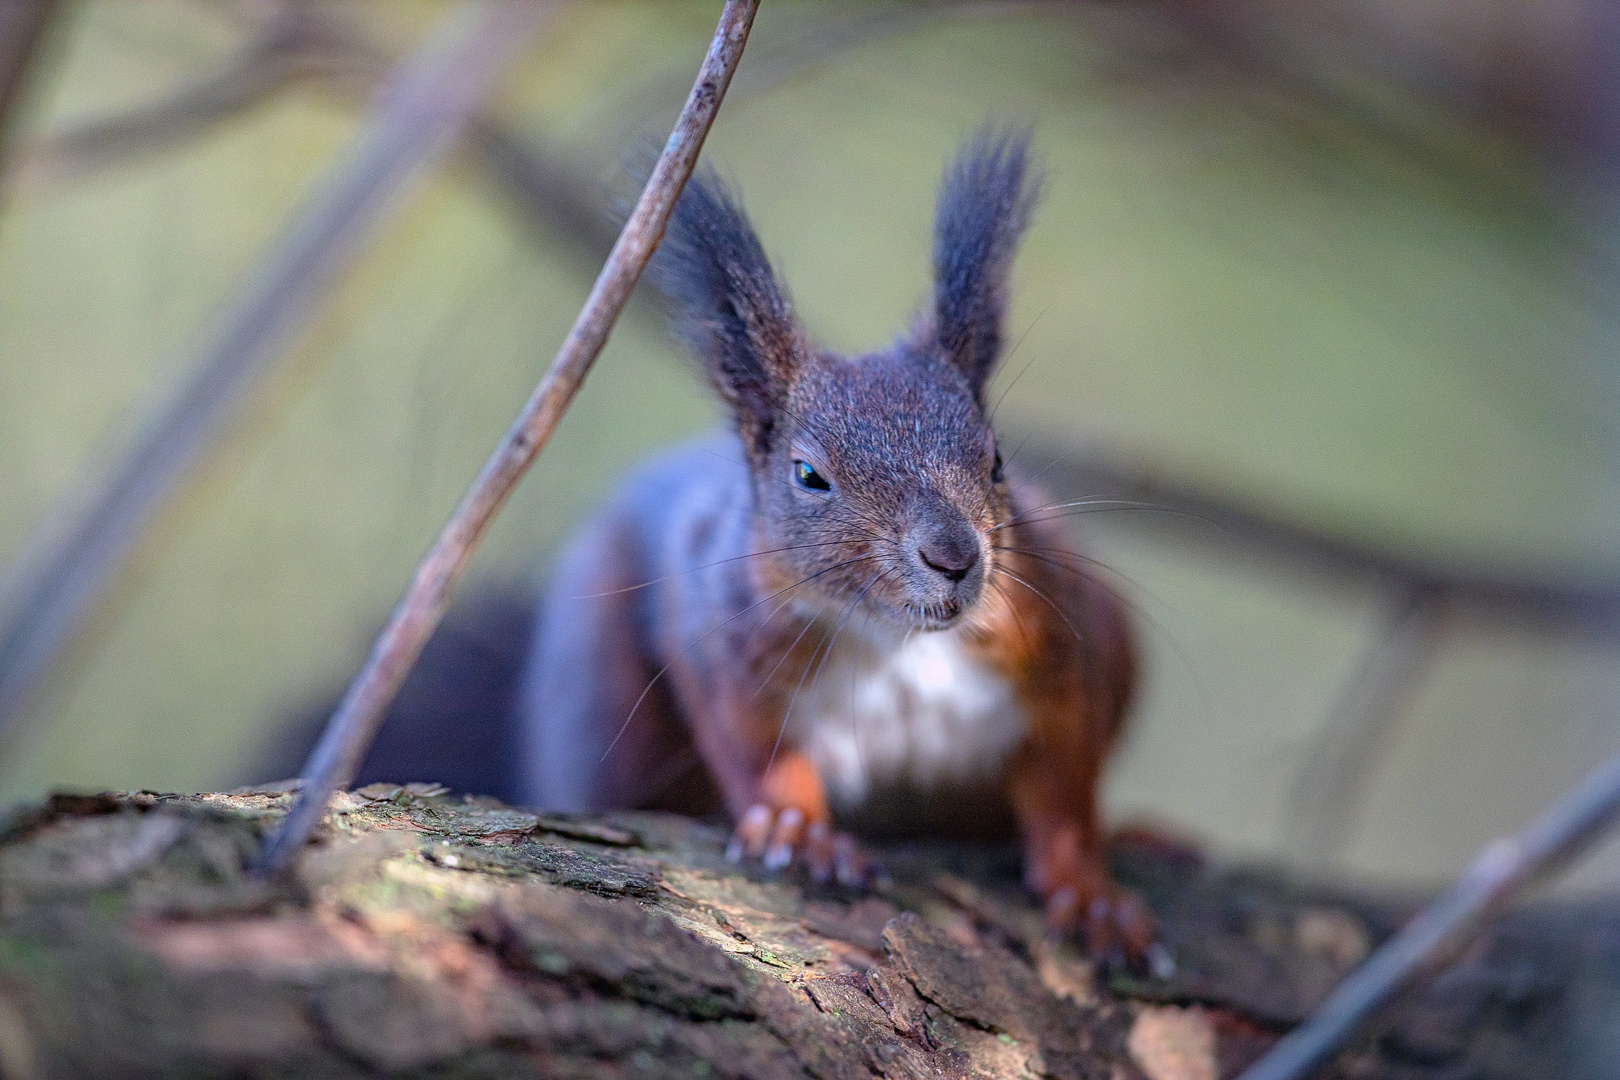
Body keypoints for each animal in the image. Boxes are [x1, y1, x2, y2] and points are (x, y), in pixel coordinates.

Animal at [515, 128, 1153, 965]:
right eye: (809, 476)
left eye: (996, 460)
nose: (955, 558)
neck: (897, 640)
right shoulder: (722, 629)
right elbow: (751, 742)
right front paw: (797, 829)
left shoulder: (1057, 638)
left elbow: (1067, 782)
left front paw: (1091, 891)